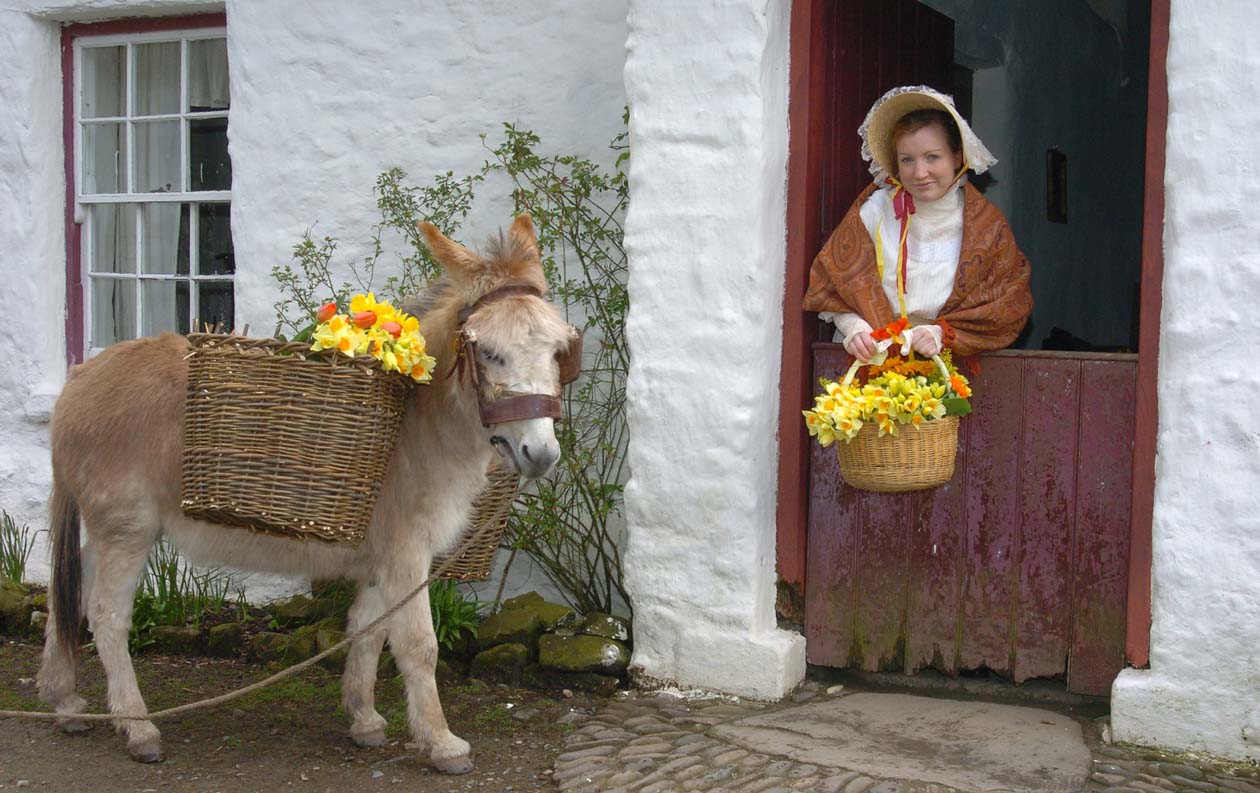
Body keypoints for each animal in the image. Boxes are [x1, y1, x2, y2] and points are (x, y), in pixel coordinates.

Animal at [36, 213, 578, 774]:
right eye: (488, 352)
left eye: (559, 351)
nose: (541, 453)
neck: (417, 425)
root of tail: (77, 380)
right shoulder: (408, 555)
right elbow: (417, 645)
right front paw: (441, 742)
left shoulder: (381, 557)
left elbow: (368, 629)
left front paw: (364, 720)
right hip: (128, 530)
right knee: (107, 616)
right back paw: (138, 728)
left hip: (108, 530)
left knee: (67, 593)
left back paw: (66, 703)